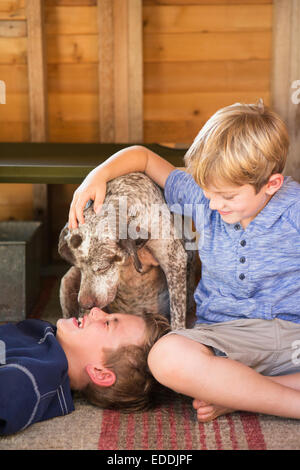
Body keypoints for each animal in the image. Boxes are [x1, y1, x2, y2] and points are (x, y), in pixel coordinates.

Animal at [59, 171, 199, 328]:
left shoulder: (175, 262)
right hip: (66, 281)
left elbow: (177, 318)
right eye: (79, 267)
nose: (85, 304)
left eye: (103, 268)